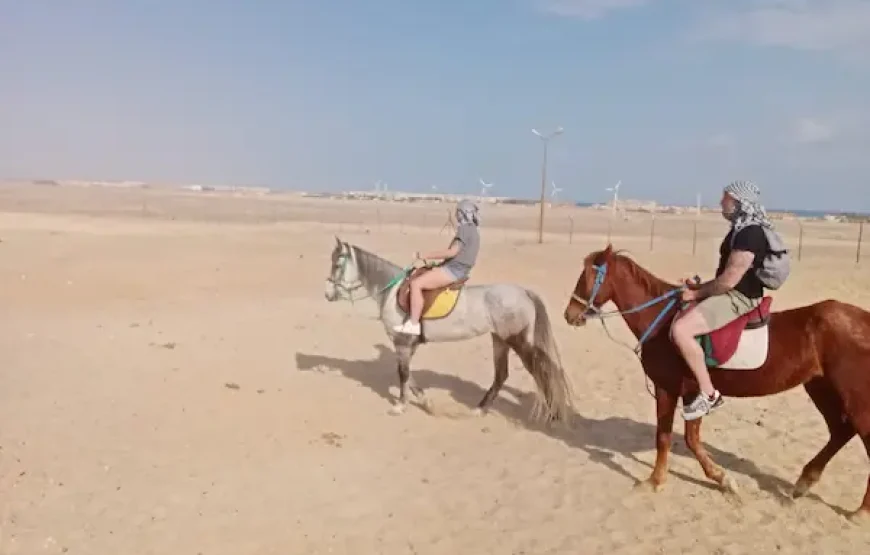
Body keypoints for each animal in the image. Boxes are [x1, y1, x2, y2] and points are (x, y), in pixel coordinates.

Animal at [323, 236, 574, 423]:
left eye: (337, 265)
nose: (327, 294)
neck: (392, 292)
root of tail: (524, 292)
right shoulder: (407, 345)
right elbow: (409, 376)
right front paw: (426, 402)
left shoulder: (402, 343)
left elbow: (403, 374)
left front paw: (400, 406)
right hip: (500, 340)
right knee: (502, 375)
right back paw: (480, 409)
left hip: (518, 342)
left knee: (542, 370)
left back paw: (552, 412)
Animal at [562, 244, 870, 521]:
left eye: (586, 276)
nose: (569, 314)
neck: (662, 322)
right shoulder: (691, 393)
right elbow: (690, 438)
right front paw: (719, 478)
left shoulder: (669, 389)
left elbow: (667, 437)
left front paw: (658, 480)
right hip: (821, 388)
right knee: (841, 431)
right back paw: (805, 482)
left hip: (852, 395)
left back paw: (861, 511)